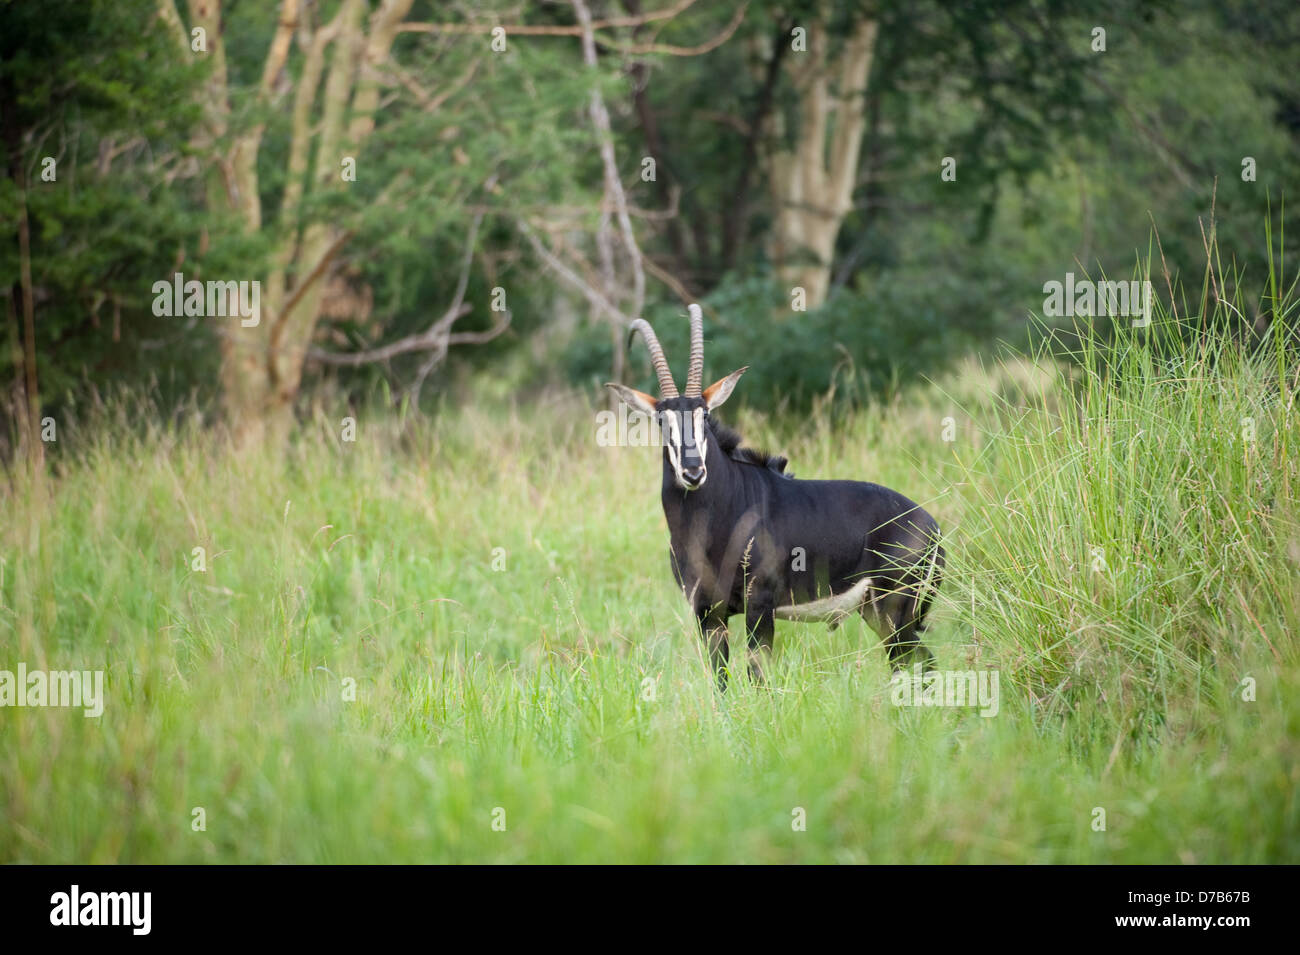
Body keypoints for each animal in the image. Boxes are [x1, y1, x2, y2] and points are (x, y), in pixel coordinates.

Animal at [608, 306, 946, 686]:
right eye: (661, 420)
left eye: (704, 414)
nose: (693, 473)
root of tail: (932, 527)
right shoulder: (708, 612)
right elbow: (720, 679)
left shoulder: (760, 604)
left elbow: (757, 675)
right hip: (877, 613)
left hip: (895, 611)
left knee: (920, 662)